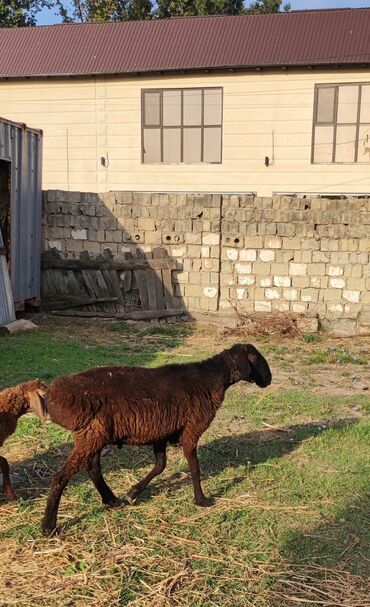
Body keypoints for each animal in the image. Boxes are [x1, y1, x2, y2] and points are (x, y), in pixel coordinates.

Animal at [39, 344, 272, 536]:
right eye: (255, 358)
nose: (269, 379)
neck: (213, 378)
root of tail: (55, 395)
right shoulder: (191, 431)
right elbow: (194, 468)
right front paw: (201, 500)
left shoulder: (162, 433)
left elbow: (160, 465)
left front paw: (132, 494)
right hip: (92, 436)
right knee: (61, 476)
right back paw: (49, 526)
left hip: (94, 436)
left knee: (93, 469)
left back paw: (112, 500)